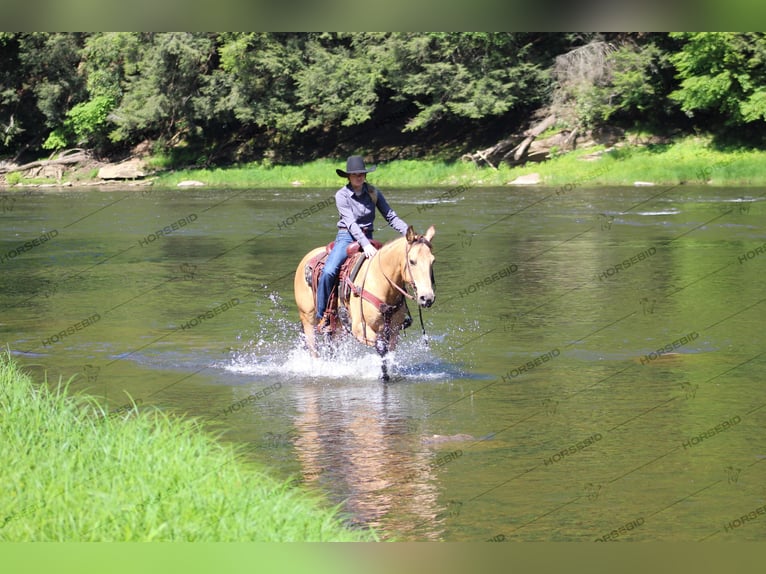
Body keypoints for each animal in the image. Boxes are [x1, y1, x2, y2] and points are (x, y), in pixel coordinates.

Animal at [294, 225, 438, 382]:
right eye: (412, 261)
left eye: (432, 261)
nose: (427, 298)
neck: (381, 283)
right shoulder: (359, 329)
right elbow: (381, 347)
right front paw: (383, 375)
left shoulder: (394, 330)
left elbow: (389, 353)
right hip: (308, 318)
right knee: (314, 349)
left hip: (338, 325)